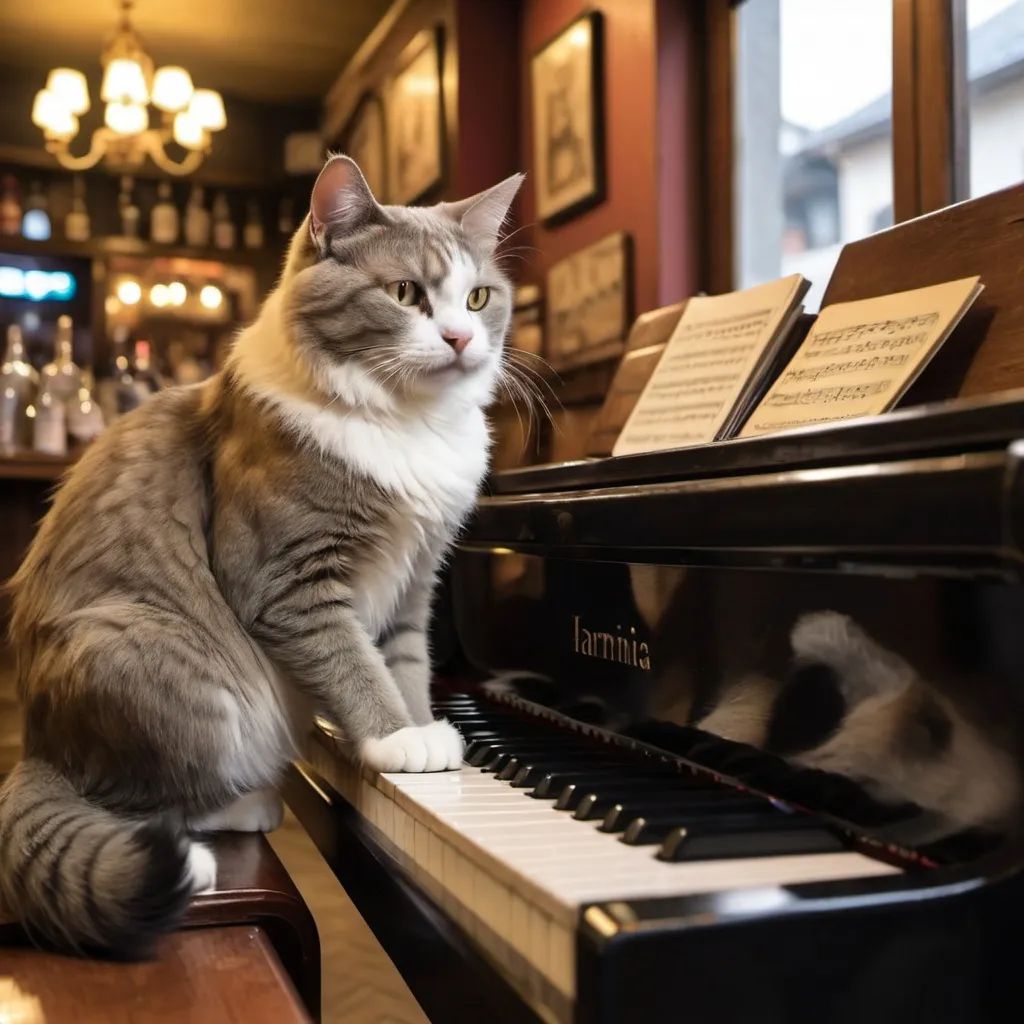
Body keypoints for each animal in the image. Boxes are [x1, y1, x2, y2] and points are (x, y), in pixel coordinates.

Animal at [0, 155, 524, 954]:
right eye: (405, 293)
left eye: (478, 296)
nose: (463, 339)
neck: (406, 422)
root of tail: (38, 746)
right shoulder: (288, 582)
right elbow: (355, 667)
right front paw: (398, 742)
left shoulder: (413, 582)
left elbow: (404, 666)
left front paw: (425, 737)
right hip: (167, 665)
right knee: (145, 805)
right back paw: (235, 818)